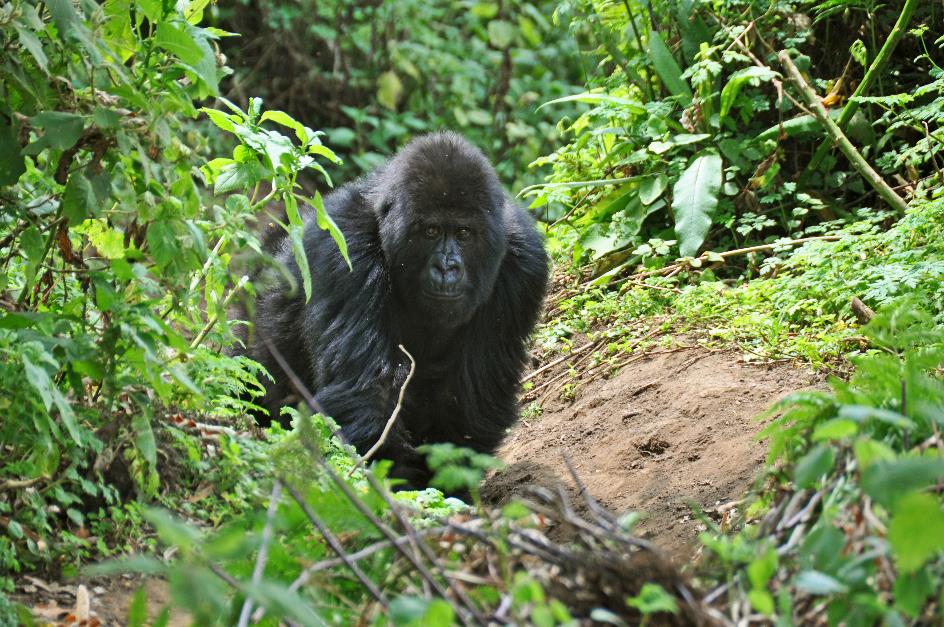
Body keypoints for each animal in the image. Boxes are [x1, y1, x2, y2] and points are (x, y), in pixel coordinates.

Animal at [247, 131, 548, 486]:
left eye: (464, 233)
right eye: (431, 231)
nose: (447, 268)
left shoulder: (524, 265)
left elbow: (473, 399)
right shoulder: (343, 242)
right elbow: (366, 390)